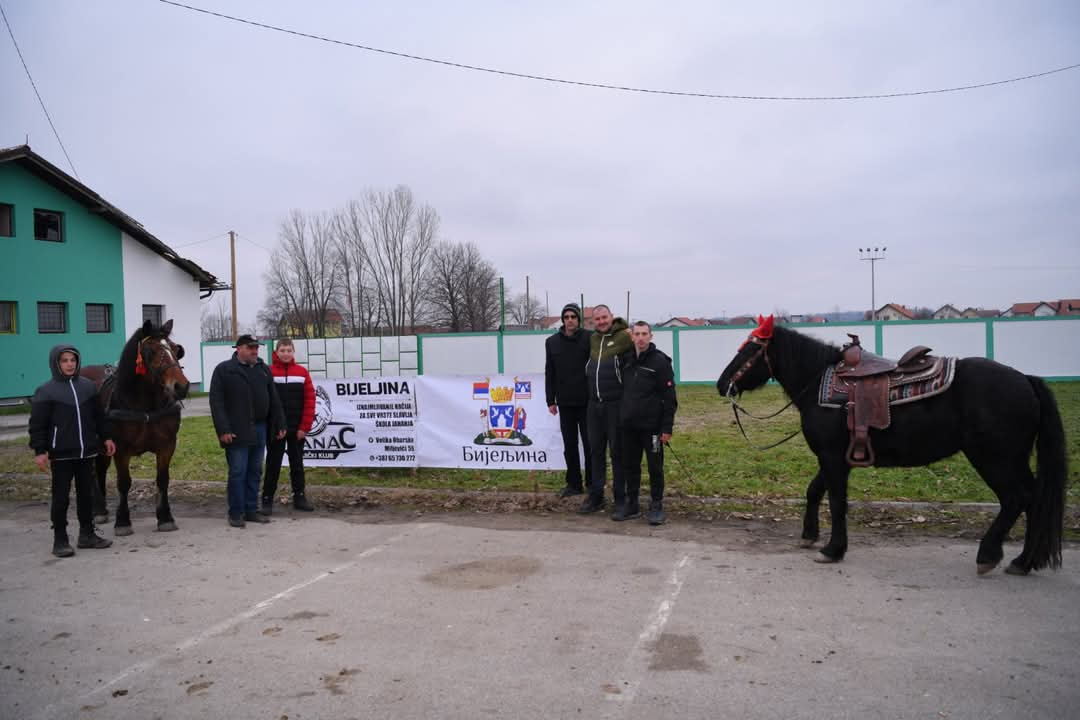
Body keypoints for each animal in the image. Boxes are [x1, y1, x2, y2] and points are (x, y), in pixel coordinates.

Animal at [82, 321, 190, 535]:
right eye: (151, 351)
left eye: (175, 349)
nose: (181, 386)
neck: (145, 405)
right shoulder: (120, 449)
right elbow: (124, 483)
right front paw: (123, 521)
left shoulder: (167, 445)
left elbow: (162, 479)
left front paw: (165, 517)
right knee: (92, 472)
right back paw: (98, 510)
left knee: (100, 470)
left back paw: (101, 509)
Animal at [717, 317, 1062, 578]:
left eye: (751, 349)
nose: (722, 384)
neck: (818, 385)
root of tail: (1026, 379)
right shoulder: (833, 458)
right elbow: (814, 491)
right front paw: (809, 536)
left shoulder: (832, 458)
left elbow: (837, 503)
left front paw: (833, 549)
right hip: (1013, 460)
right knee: (1034, 499)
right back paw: (1022, 561)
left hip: (995, 459)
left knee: (1016, 498)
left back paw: (989, 555)